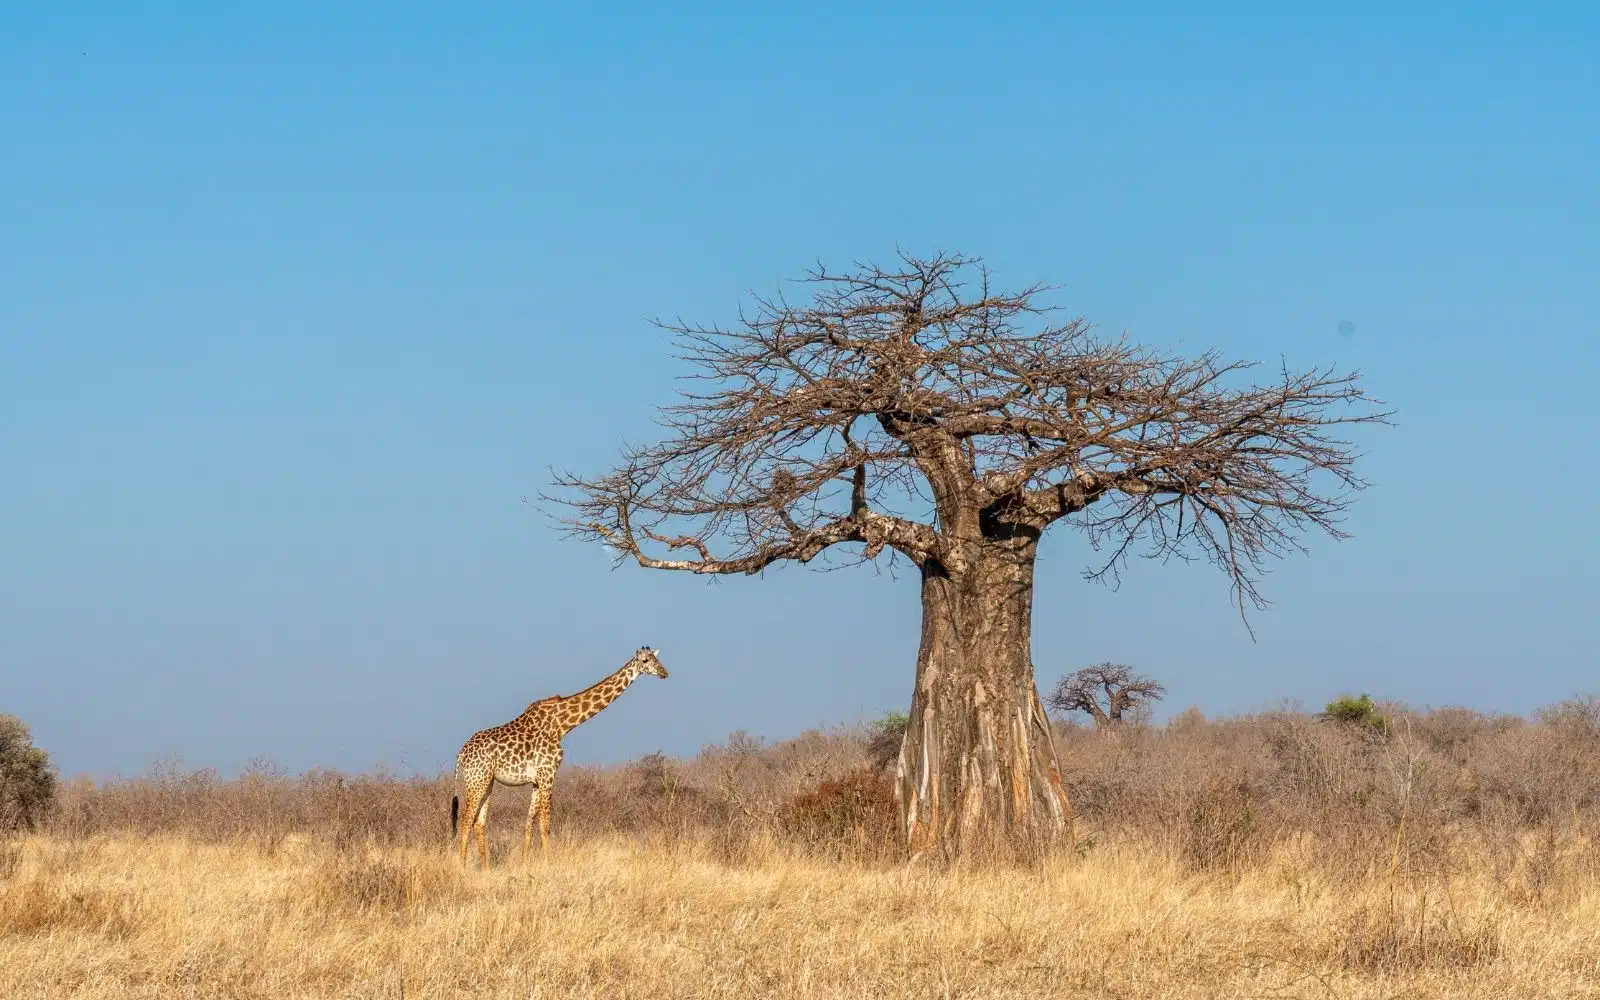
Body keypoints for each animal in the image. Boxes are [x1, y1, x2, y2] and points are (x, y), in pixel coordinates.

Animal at [449, 646, 668, 867]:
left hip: (487, 782)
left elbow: (529, 824)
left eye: (657, 659)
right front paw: (548, 864)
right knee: (465, 820)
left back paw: (485, 868)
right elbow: (545, 825)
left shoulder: (537, 780)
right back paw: (462, 867)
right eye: (645, 660)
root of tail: (461, 754)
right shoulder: (548, 774)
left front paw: (525, 863)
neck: (563, 724)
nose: (664, 673)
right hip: (477, 780)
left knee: (479, 822)